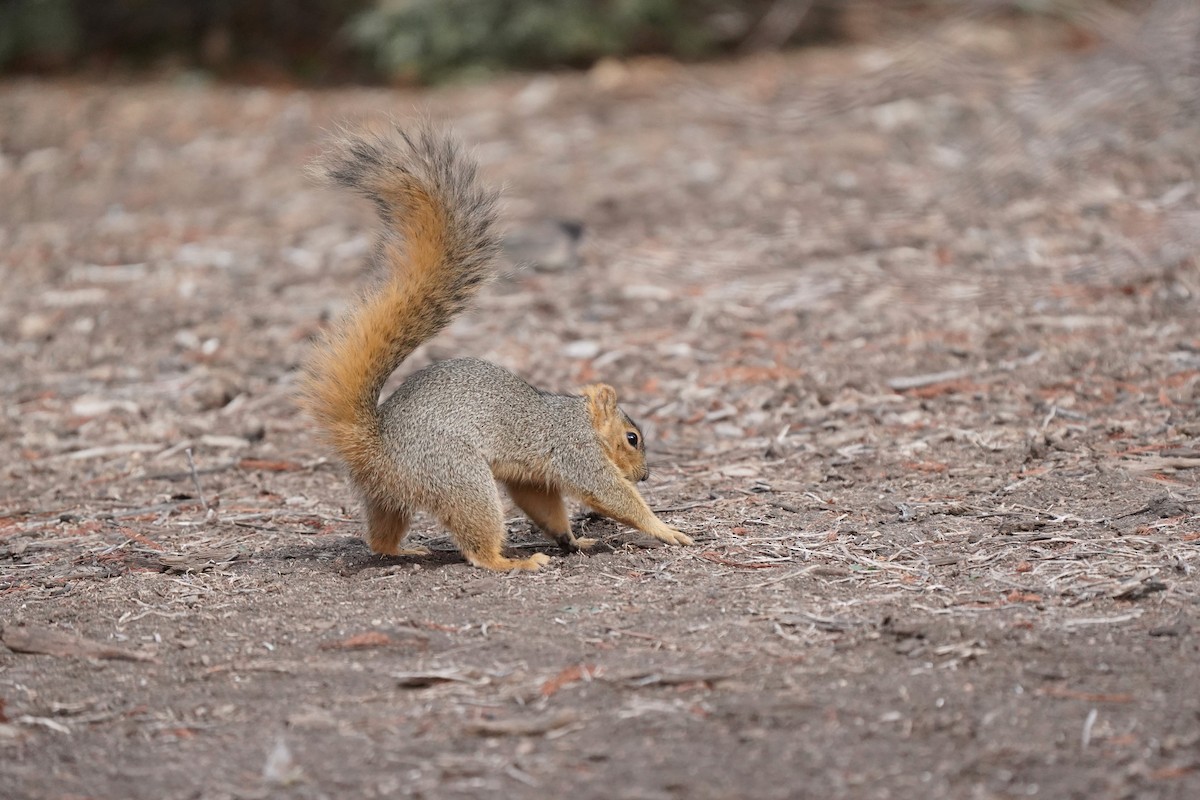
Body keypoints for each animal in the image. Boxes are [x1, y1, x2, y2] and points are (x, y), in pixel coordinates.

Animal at [299, 123, 693, 572]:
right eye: (632, 438)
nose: (644, 476)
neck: (577, 417)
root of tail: (375, 447)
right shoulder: (576, 451)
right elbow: (607, 493)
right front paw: (664, 529)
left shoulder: (532, 478)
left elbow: (543, 505)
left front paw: (572, 539)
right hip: (458, 476)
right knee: (477, 548)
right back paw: (512, 562)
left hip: (391, 494)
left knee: (382, 533)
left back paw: (403, 549)